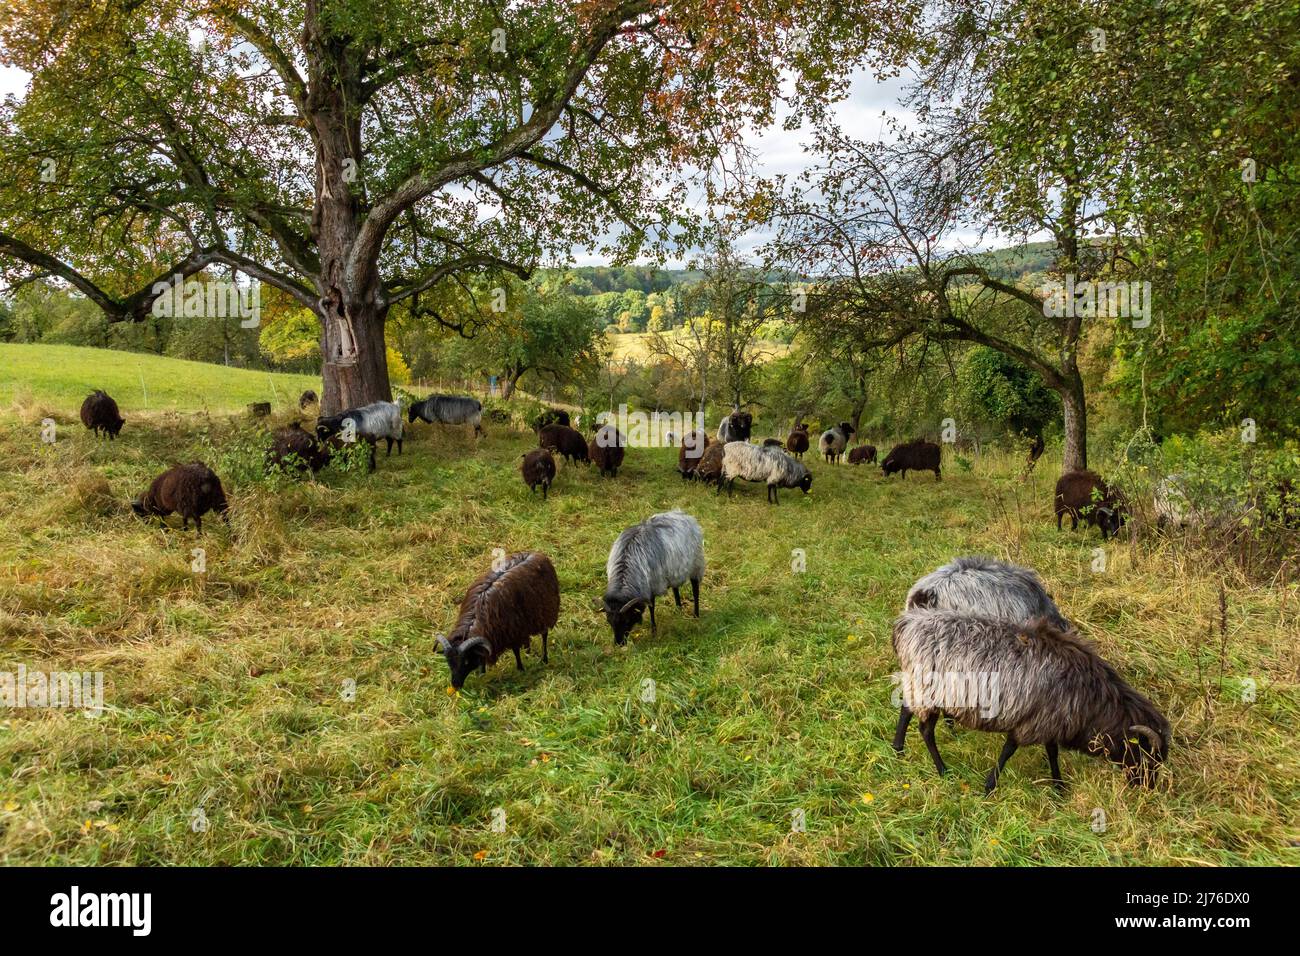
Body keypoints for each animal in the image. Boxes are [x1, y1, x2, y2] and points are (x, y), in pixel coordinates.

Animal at [436, 548, 559, 691]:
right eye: (448, 662)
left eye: (466, 661)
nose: (455, 685)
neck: (475, 619)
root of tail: (538, 554)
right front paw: (482, 674)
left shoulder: (512, 632)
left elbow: (515, 651)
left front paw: (520, 669)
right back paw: (528, 652)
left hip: (545, 611)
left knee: (544, 635)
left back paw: (544, 659)